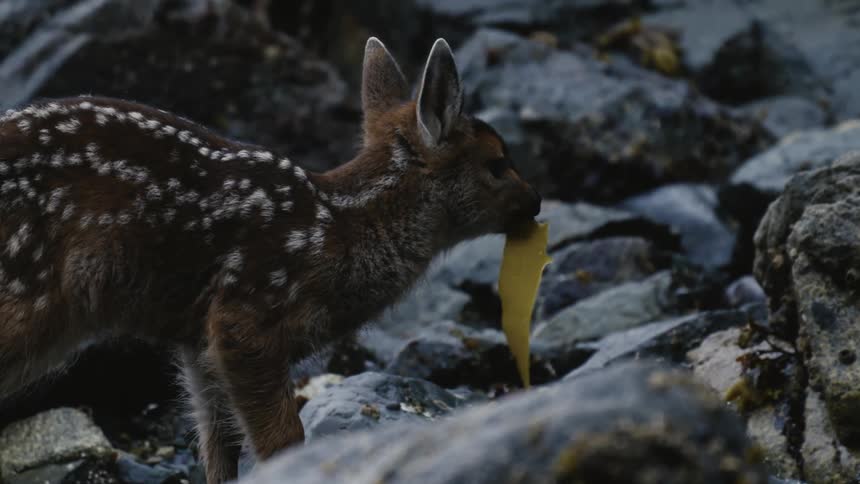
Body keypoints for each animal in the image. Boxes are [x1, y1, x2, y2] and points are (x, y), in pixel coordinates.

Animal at [0, 37, 541, 482]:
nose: (536, 201)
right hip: (25, 289)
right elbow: (283, 443)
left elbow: (218, 448)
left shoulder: (195, 341)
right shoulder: (246, 317)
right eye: (498, 163)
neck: (338, 231)